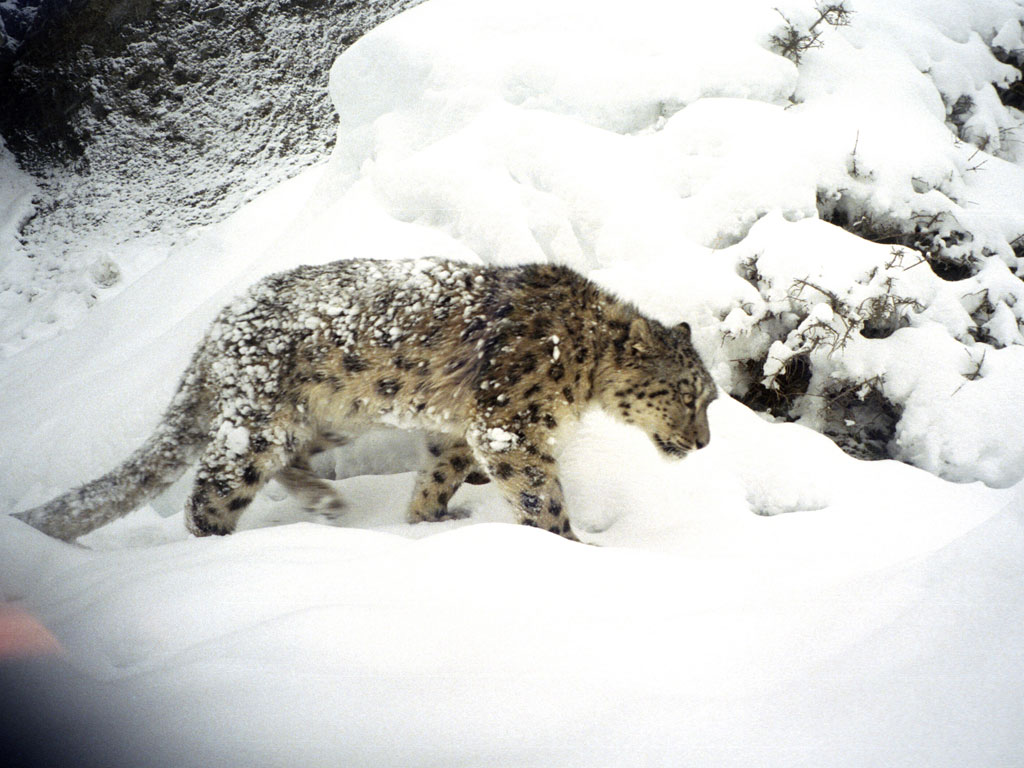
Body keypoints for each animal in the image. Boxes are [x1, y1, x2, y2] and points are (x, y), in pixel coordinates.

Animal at [13, 258, 716, 543]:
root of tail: (222, 322)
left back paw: (327, 502)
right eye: (687, 394)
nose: (706, 443)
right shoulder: (510, 425)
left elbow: (438, 474)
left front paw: (427, 520)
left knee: (295, 460)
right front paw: (576, 550)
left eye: (710, 398)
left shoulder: (459, 430)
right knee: (211, 491)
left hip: (332, 417)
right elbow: (542, 497)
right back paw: (221, 548)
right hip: (257, 425)